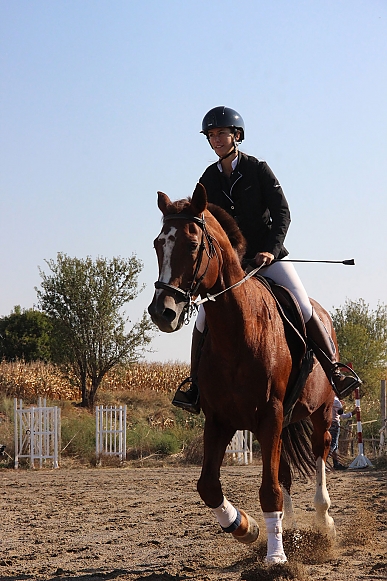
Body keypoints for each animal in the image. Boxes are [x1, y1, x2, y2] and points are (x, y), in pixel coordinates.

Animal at [149, 185, 336, 560]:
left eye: (192, 244)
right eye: (158, 244)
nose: (162, 312)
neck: (239, 328)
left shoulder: (270, 414)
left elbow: (269, 490)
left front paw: (276, 557)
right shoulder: (220, 419)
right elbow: (208, 485)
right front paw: (245, 527)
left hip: (320, 411)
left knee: (319, 455)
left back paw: (323, 523)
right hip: (283, 424)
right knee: (284, 474)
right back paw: (291, 531)